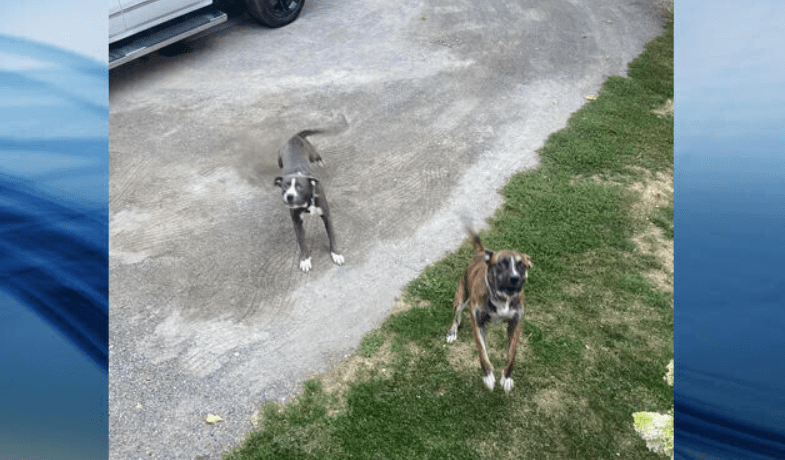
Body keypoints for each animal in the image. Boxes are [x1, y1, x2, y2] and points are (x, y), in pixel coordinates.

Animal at [276, 118, 350, 272]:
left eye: (299, 187)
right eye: (285, 186)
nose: (289, 196)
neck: (307, 203)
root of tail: (294, 137)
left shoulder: (326, 215)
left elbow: (332, 236)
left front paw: (336, 253)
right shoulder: (296, 222)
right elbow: (302, 242)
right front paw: (305, 259)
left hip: (311, 152)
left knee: (317, 156)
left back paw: (321, 162)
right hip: (279, 157)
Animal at [444, 230, 528, 392]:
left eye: (522, 265)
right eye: (501, 263)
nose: (514, 278)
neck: (502, 297)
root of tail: (482, 252)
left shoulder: (515, 324)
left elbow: (512, 355)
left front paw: (506, 378)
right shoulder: (477, 323)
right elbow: (482, 353)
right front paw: (488, 375)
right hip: (461, 299)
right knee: (456, 317)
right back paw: (452, 332)